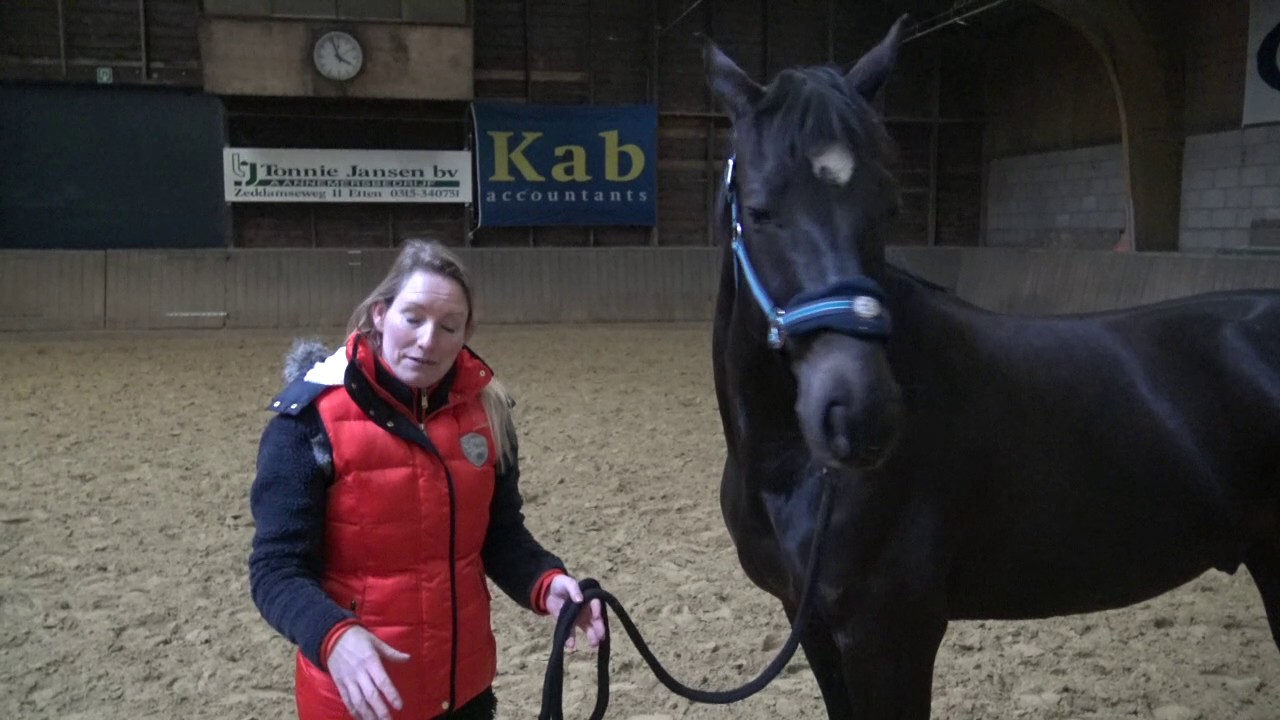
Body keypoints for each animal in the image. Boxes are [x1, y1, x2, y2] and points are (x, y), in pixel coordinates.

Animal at [704, 17, 1280, 719]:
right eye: (759, 211)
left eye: (889, 207)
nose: (861, 413)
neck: (789, 471)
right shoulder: (809, 622)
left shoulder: (889, 635)